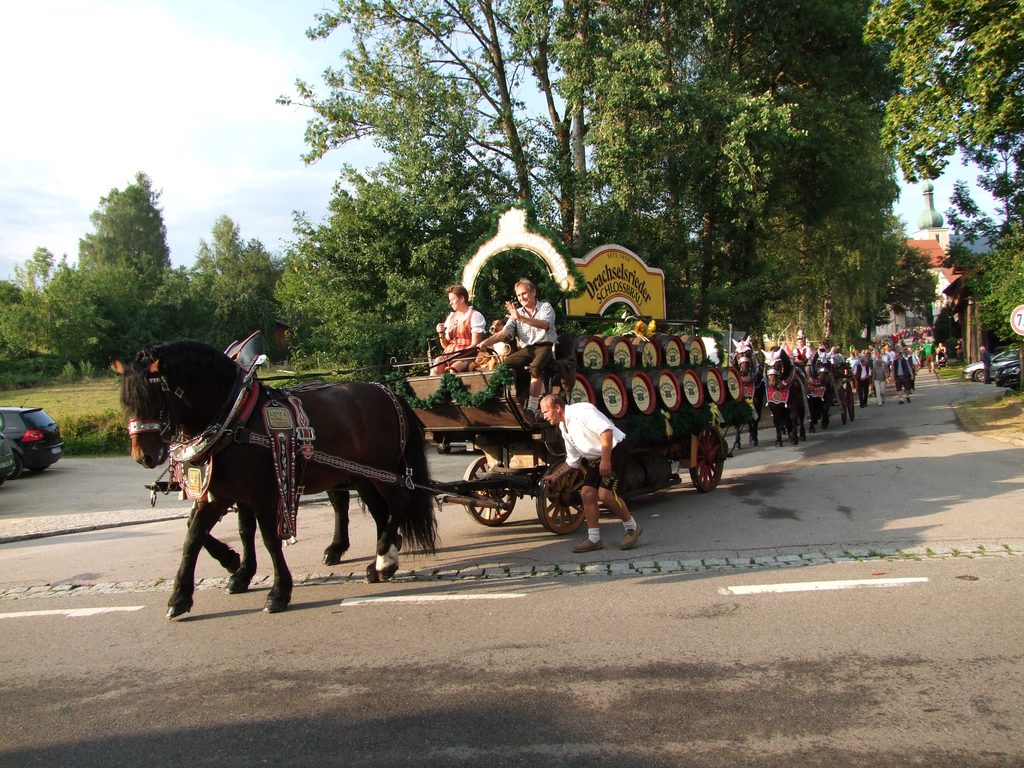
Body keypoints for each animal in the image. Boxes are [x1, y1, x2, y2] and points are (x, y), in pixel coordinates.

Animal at [114, 342, 438, 618]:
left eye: (153, 399)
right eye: (127, 401)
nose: (143, 456)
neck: (235, 418)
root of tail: (387, 392)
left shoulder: (263, 494)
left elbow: (269, 539)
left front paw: (278, 592)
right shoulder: (222, 495)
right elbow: (197, 536)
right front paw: (184, 595)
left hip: (381, 470)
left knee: (398, 502)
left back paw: (383, 558)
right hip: (362, 475)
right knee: (379, 510)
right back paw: (382, 561)